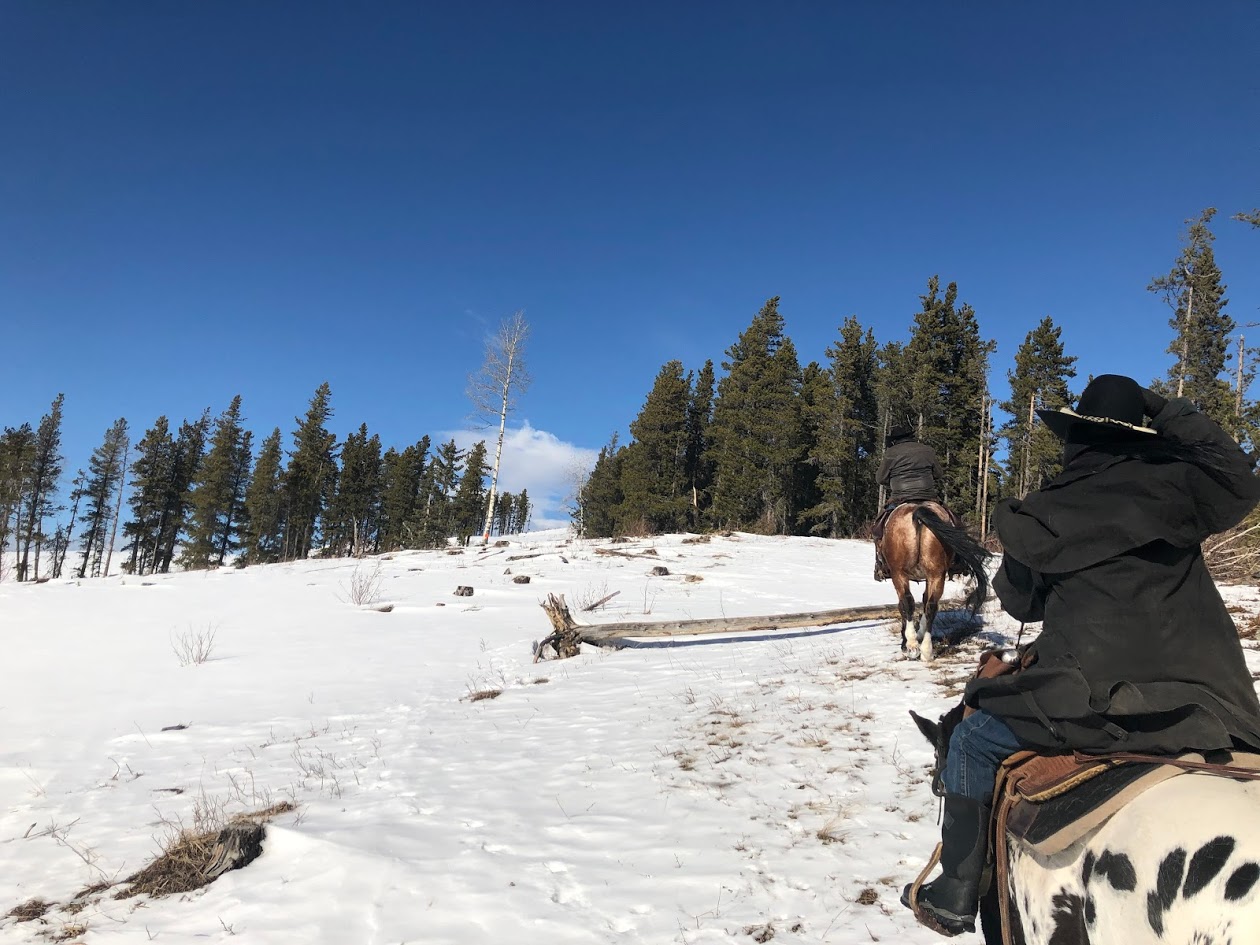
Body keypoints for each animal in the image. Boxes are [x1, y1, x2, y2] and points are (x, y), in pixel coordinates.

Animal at [882, 504, 987, 660]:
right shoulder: (929, 577)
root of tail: (917, 511)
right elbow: (926, 600)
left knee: (907, 602)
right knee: (932, 606)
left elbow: (904, 606)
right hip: (936, 574)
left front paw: (906, 642)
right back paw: (926, 651)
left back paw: (912, 646)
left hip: (899, 573)